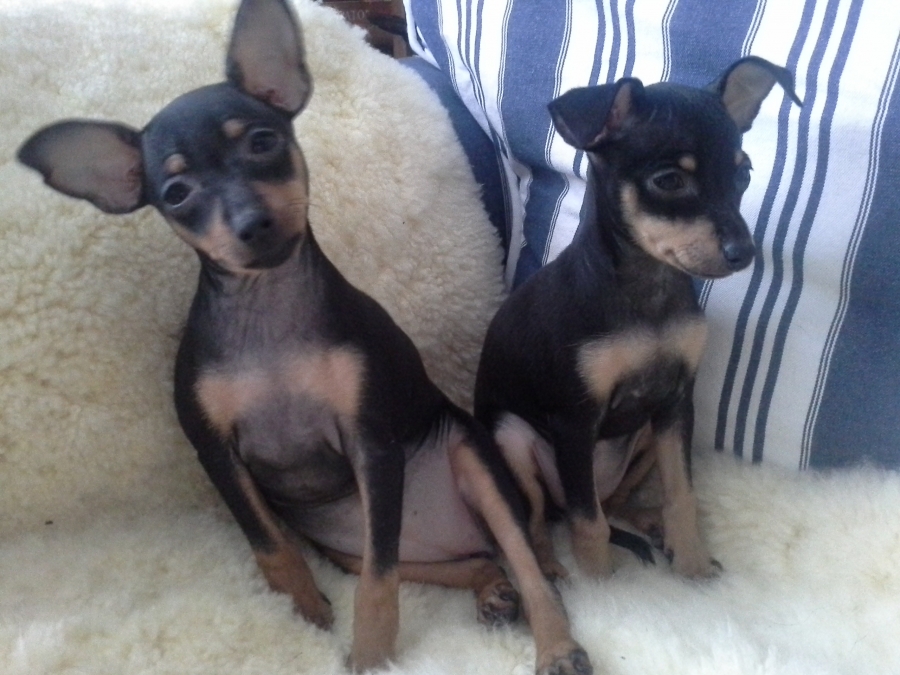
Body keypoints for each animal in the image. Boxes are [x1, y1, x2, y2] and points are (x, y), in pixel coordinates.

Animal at [16, 1, 593, 673]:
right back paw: (491, 590)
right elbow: (271, 545)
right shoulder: (216, 452)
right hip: (348, 545)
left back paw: (554, 641)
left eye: (263, 142)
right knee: (470, 561)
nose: (252, 223)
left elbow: (378, 581)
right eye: (176, 193)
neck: (270, 317)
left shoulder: (371, 444)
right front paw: (303, 611)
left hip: (475, 465)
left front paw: (369, 656)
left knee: (526, 562)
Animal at [474, 58, 801, 581]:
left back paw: (652, 525)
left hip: (645, 433)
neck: (649, 291)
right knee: (544, 515)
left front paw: (693, 565)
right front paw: (602, 583)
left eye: (744, 175)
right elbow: (587, 522)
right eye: (668, 182)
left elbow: (682, 494)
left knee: (614, 502)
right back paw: (549, 565)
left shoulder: (675, 404)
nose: (744, 253)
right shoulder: (575, 421)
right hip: (513, 437)